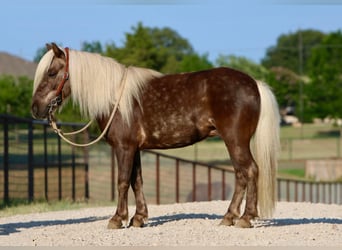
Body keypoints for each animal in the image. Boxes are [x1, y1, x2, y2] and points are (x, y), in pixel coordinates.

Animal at [31, 42, 280, 229]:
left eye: (52, 73)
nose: (35, 108)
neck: (115, 97)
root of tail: (254, 83)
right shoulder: (135, 149)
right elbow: (136, 181)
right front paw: (138, 218)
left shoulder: (124, 148)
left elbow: (122, 182)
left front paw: (117, 219)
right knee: (241, 175)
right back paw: (229, 217)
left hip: (235, 141)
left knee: (249, 171)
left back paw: (245, 218)